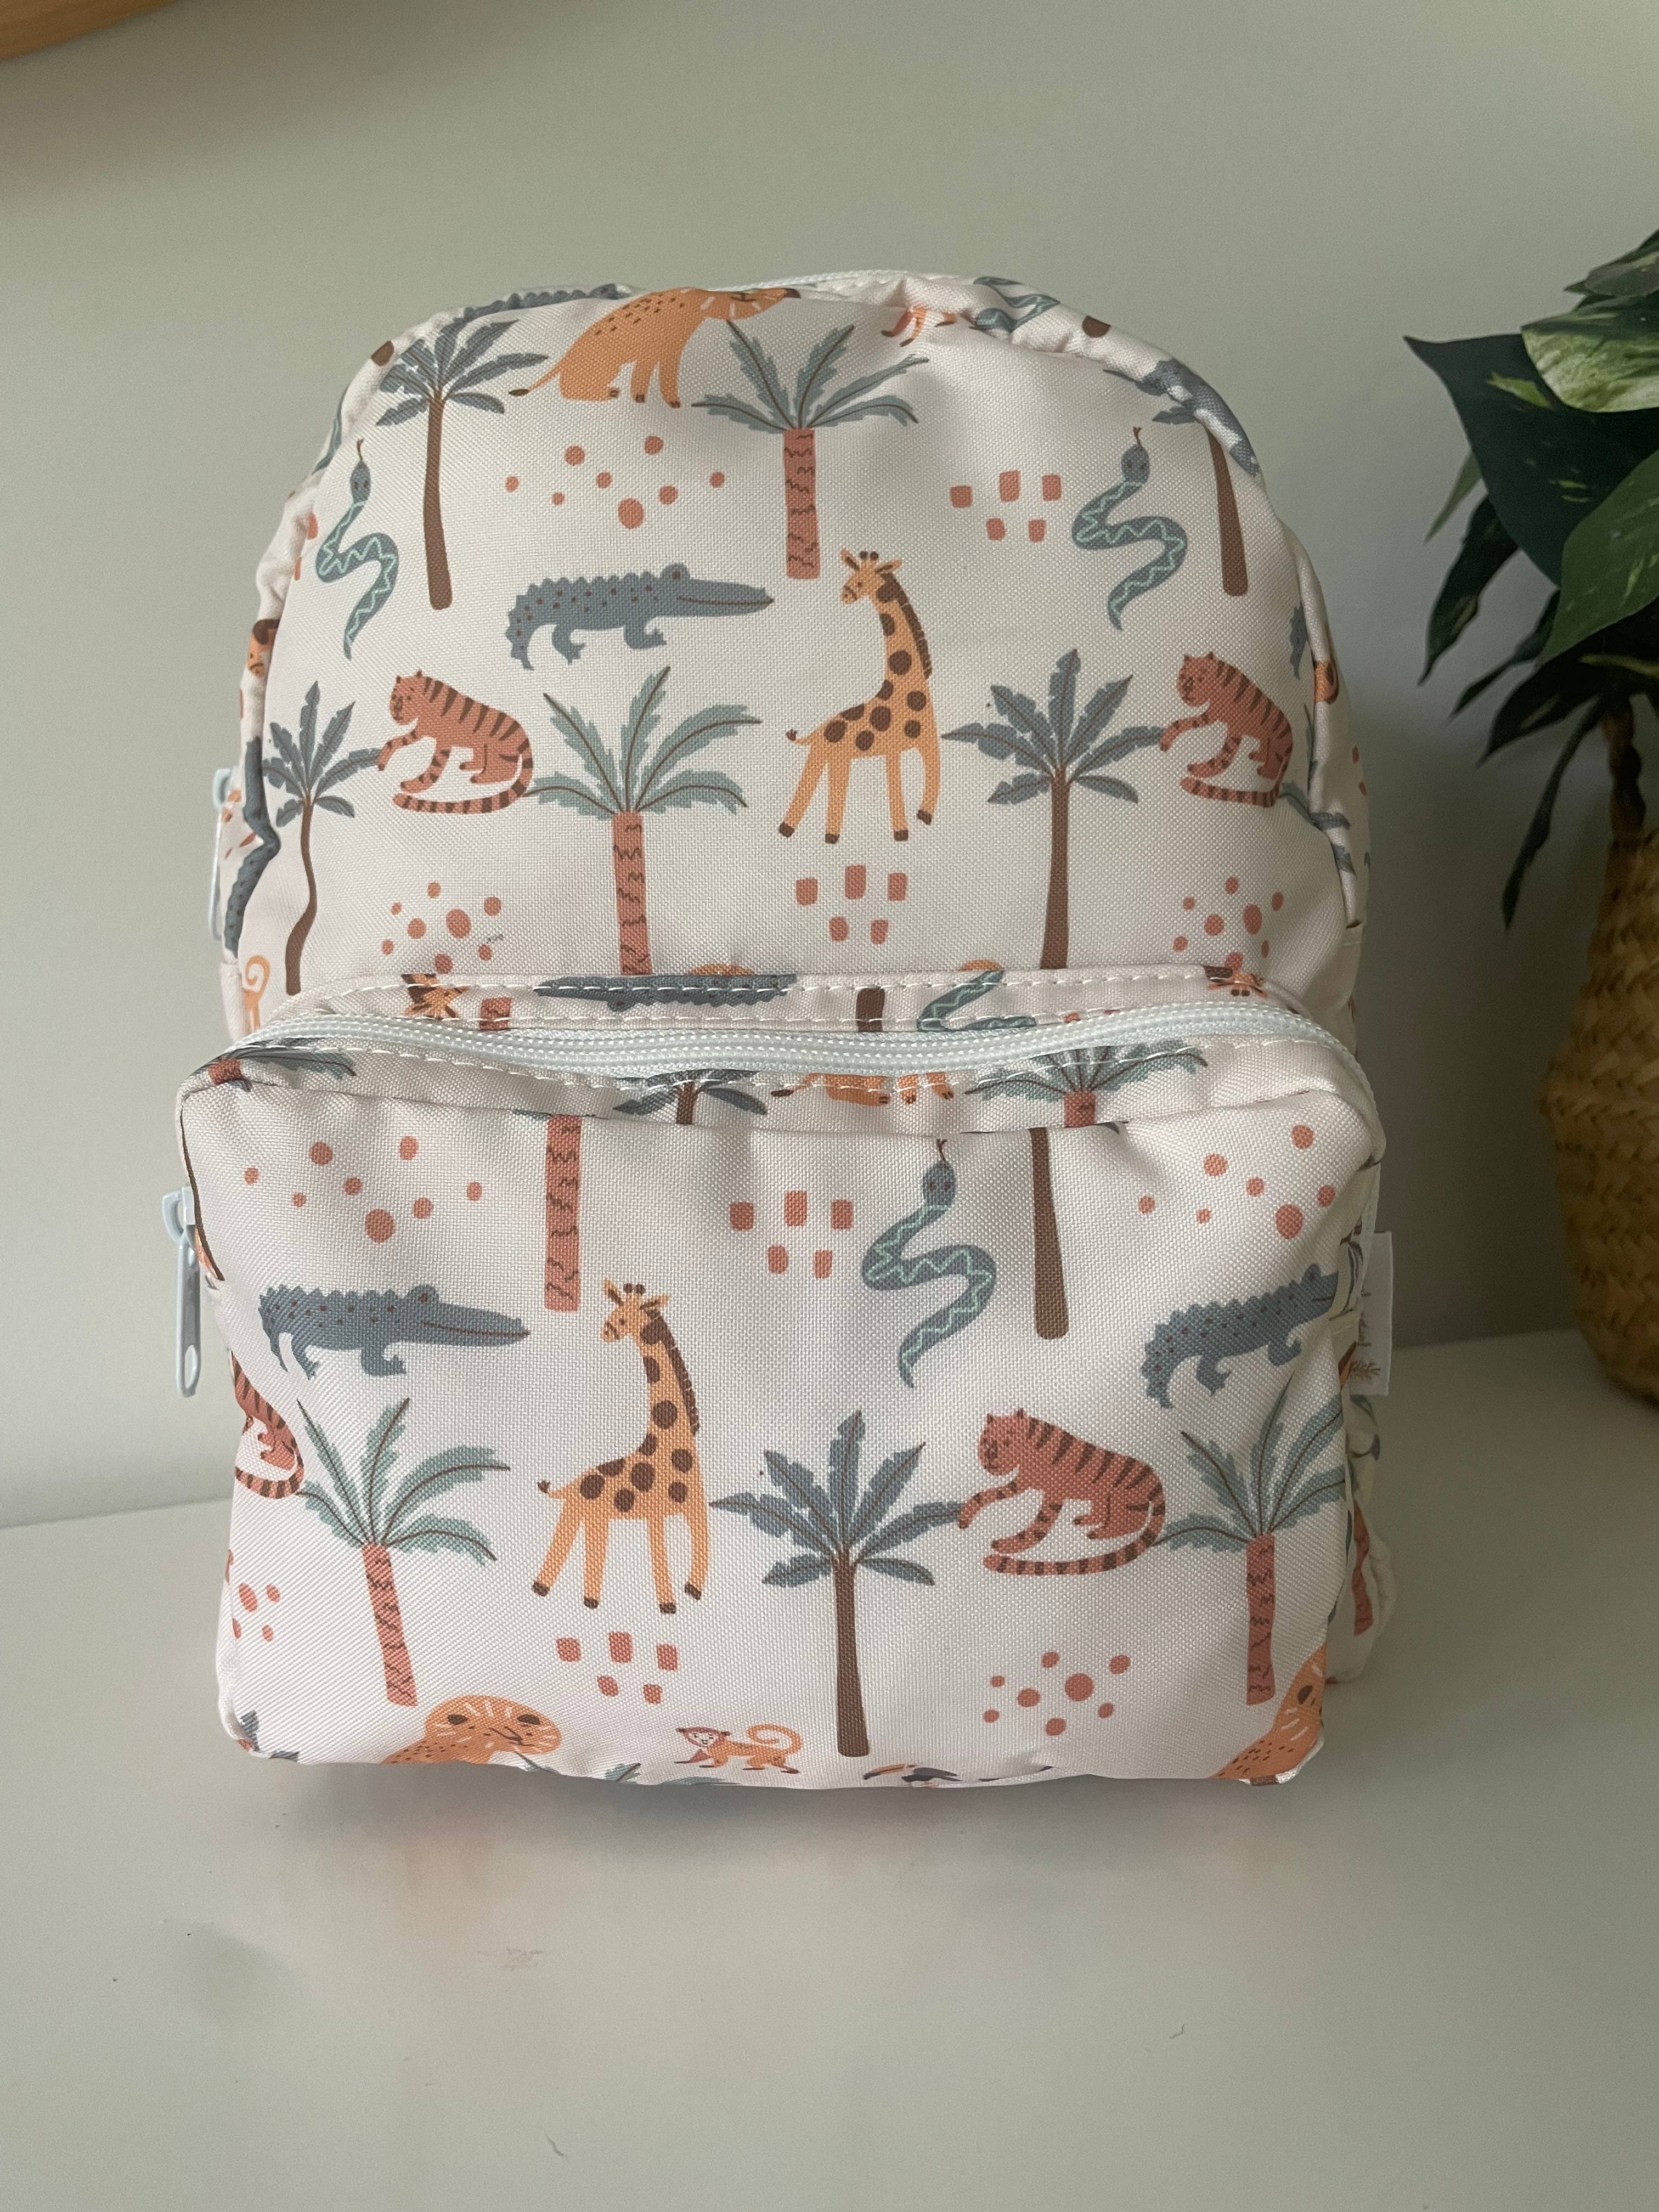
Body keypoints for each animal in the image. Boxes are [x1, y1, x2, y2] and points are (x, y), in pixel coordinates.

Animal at [378, 673, 534, 813]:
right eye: (394, 697)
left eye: (409, 698)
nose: (397, 715)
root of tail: (524, 737)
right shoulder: (420, 731)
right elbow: (394, 742)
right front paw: (382, 761)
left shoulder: (444, 741)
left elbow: (434, 768)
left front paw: (415, 785)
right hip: (480, 745)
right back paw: (470, 765)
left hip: (497, 750)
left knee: (506, 772)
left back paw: (480, 778)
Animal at [531, 1281, 709, 1614]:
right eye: (615, 1311)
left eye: (625, 1318)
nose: (605, 1331)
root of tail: (571, 1485)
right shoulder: (656, 1514)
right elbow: (660, 1553)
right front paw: (669, 1603)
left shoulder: (693, 1507)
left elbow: (701, 1540)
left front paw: (692, 1590)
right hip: (581, 1512)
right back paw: (547, 1590)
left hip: (594, 1516)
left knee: (588, 1546)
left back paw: (586, 1599)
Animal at [780, 551, 943, 844]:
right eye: (853, 575)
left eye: (861, 580)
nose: (844, 594)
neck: (909, 688)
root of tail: (817, 732)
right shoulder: (899, 747)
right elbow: (903, 783)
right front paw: (904, 829)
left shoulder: (919, 744)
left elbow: (925, 775)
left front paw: (918, 819)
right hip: (830, 755)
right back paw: (803, 832)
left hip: (833, 757)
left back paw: (818, 834)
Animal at [960, 1411, 1165, 1576]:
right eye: (986, 1441)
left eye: (1008, 1440)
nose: (990, 1458)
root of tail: (1155, 1480)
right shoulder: (1021, 1483)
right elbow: (986, 1495)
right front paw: (965, 1517)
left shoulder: (1054, 1494)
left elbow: (1038, 1526)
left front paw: (1009, 1545)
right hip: (1101, 1497)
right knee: (1106, 1513)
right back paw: (1088, 1521)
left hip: (1121, 1499)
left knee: (1131, 1523)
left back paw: (1100, 1533)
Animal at [1160, 652, 1294, 807]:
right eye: (1183, 676)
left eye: (1201, 678)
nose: (1186, 690)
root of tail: (1292, 743)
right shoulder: (1212, 715)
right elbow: (1181, 723)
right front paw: (1166, 740)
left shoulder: (1232, 726)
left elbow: (1222, 758)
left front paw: (1199, 770)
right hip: (1265, 739)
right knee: (1265, 749)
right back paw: (1257, 756)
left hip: (1276, 747)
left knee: (1273, 766)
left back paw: (1264, 771)